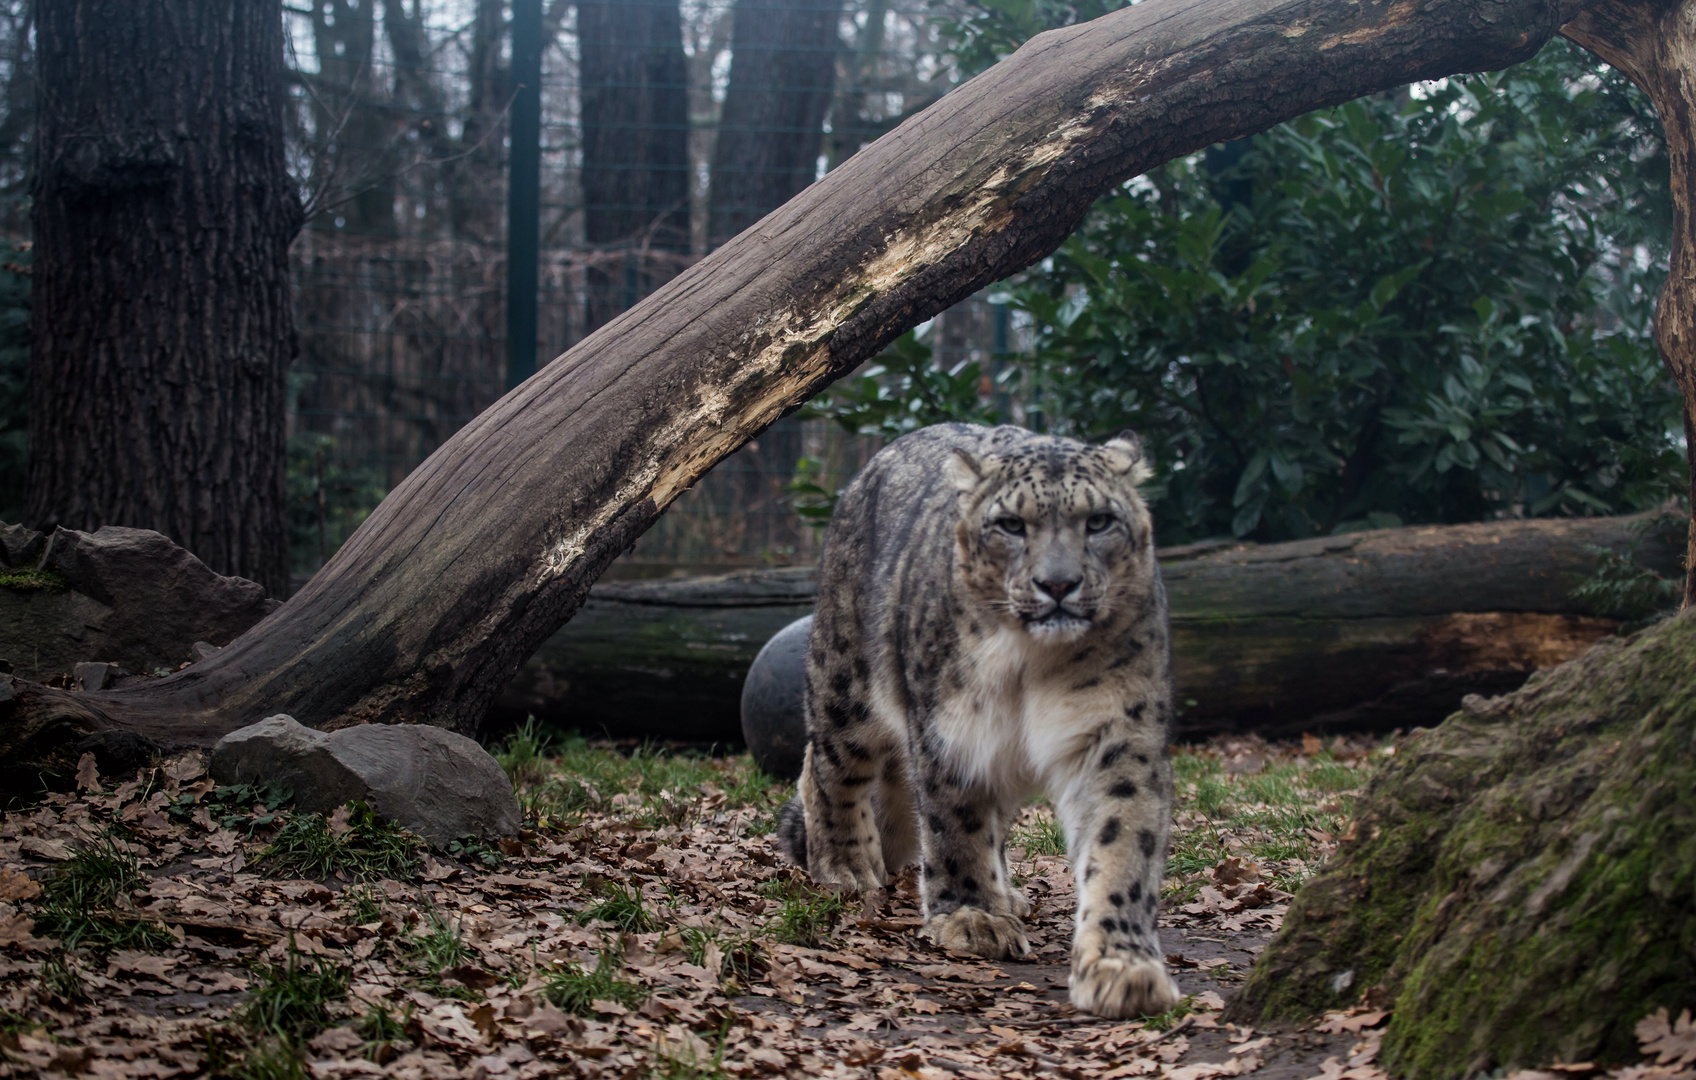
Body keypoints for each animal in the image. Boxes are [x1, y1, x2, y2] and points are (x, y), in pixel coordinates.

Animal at [776, 423, 1180, 1017]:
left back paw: (1005, 889)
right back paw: (847, 865)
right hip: (846, 683)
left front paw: (1122, 966)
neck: (1035, 664)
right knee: (828, 764)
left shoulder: (1118, 730)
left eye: (1099, 520)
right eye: (1011, 524)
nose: (1058, 584)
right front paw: (974, 918)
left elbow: (1123, 838)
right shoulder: (954, 728)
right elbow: (955, 821)